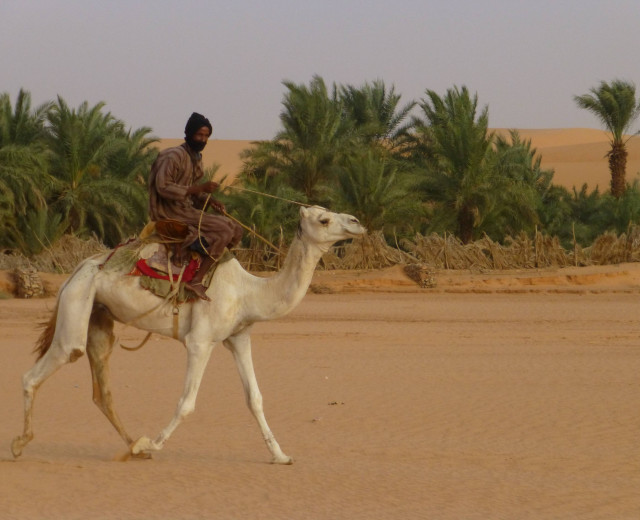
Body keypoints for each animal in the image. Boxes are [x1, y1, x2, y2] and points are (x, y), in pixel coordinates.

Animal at [11, 205, 364, 462]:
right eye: (324, 218)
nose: (357, 222)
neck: (249, 292)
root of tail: (76, 270)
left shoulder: (239, 338)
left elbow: (255, 398)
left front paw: (281, 455)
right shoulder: (200, 341)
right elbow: (187, 402)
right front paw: (153, 444)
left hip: (98, 315)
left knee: (102, 391)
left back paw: (133, 445)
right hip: (78, 302)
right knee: (43, 368)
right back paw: (20, 443)